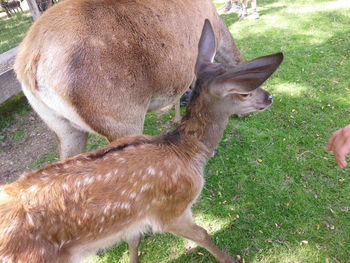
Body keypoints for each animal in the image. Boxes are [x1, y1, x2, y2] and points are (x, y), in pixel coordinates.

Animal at [2, 20, 284, 263]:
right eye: (244, 92)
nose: (269, 97)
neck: (186, 153)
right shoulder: (171, 209)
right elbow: (203, 234)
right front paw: (230, 259)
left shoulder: (135, 218)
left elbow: (134, 239)